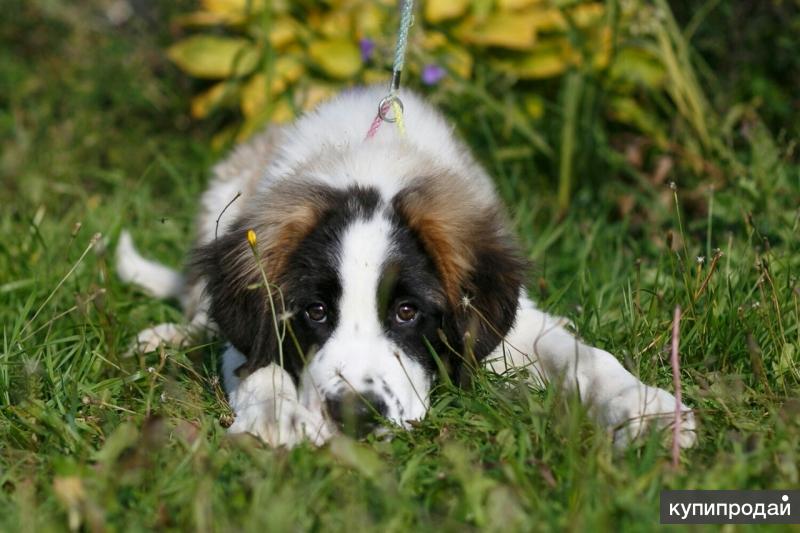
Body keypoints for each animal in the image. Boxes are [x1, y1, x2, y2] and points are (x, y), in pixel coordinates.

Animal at [115, 86, 696, 448]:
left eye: (407, 312)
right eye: (316, 312)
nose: (355, 414)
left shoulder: (516, 324)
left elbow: (583, 357)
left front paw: (643, 409)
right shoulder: (256, 326)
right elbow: (262, 369)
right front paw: (277, 419)